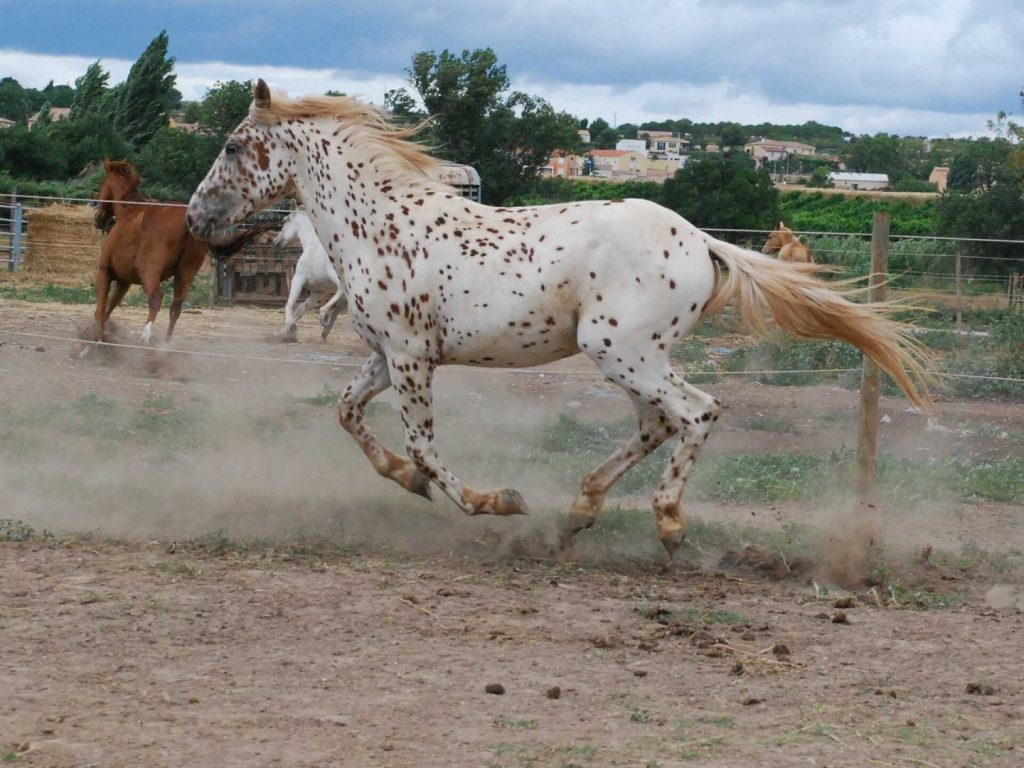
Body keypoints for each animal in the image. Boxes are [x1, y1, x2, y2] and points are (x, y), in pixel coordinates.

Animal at [274, 210, 347, 341]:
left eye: (284, 221)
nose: (275, 242)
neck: (311, 244)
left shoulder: (298, 279)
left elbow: (290, 304)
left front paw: (289, 327)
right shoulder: (316, 292)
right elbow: (301, 310)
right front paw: (286, 331)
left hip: (336, 276)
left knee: (341, 289)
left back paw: (323, 313)